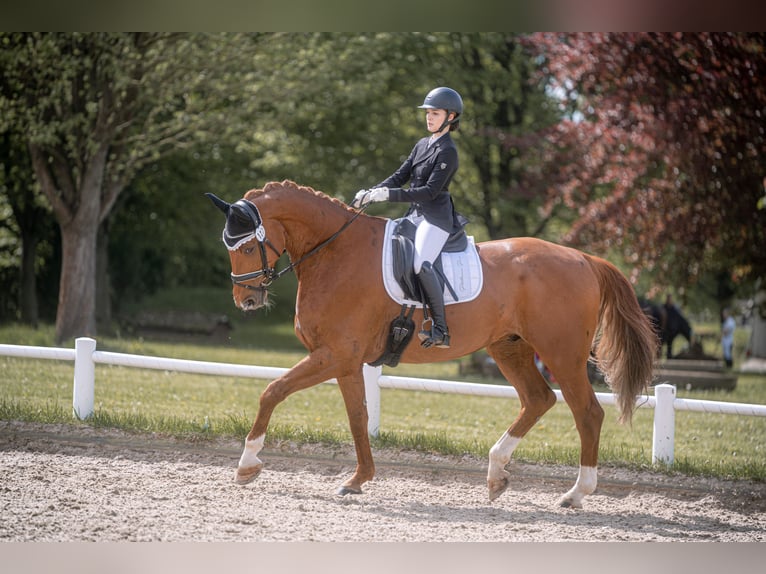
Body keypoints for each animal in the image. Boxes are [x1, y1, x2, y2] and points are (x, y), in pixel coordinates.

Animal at [210, 182, 660, 510]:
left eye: (246, 246)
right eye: (229, 247)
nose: (246, 301)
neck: (335, 253)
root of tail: (584, 259)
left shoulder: (334, 355)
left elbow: (273, 391)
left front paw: (247, 465)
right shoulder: (346, 361)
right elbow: (358, 417)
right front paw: (358, 480)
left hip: (561, 353)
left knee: (587, 413)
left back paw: (575, 493)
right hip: (509, 347)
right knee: (538, 399)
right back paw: (496, 475)